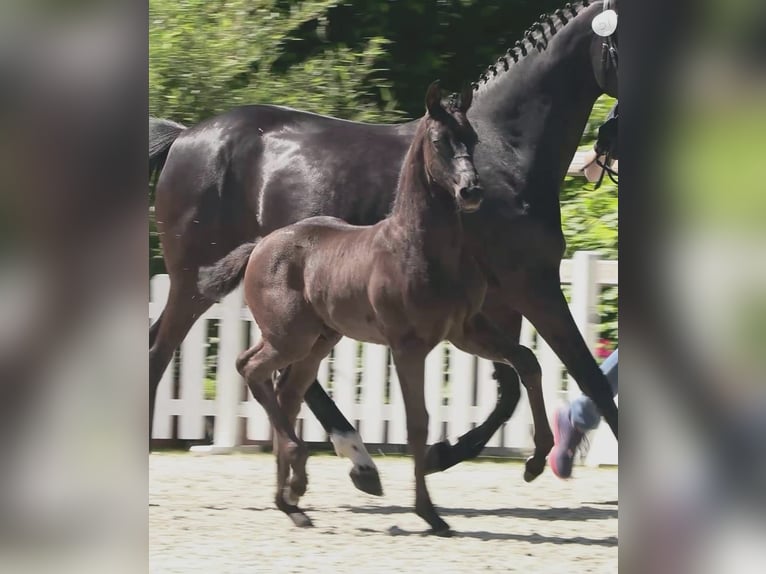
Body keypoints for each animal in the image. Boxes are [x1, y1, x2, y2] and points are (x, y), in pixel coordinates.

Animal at [150, 0, 616, 496]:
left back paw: (357, 461)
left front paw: (450, 455)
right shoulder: (533, 286)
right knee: (164, 351)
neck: (505, 152)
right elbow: (588, 377)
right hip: (195, 282)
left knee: (283, 370)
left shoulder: (497, 302)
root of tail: (183, 136)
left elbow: (512, 384)